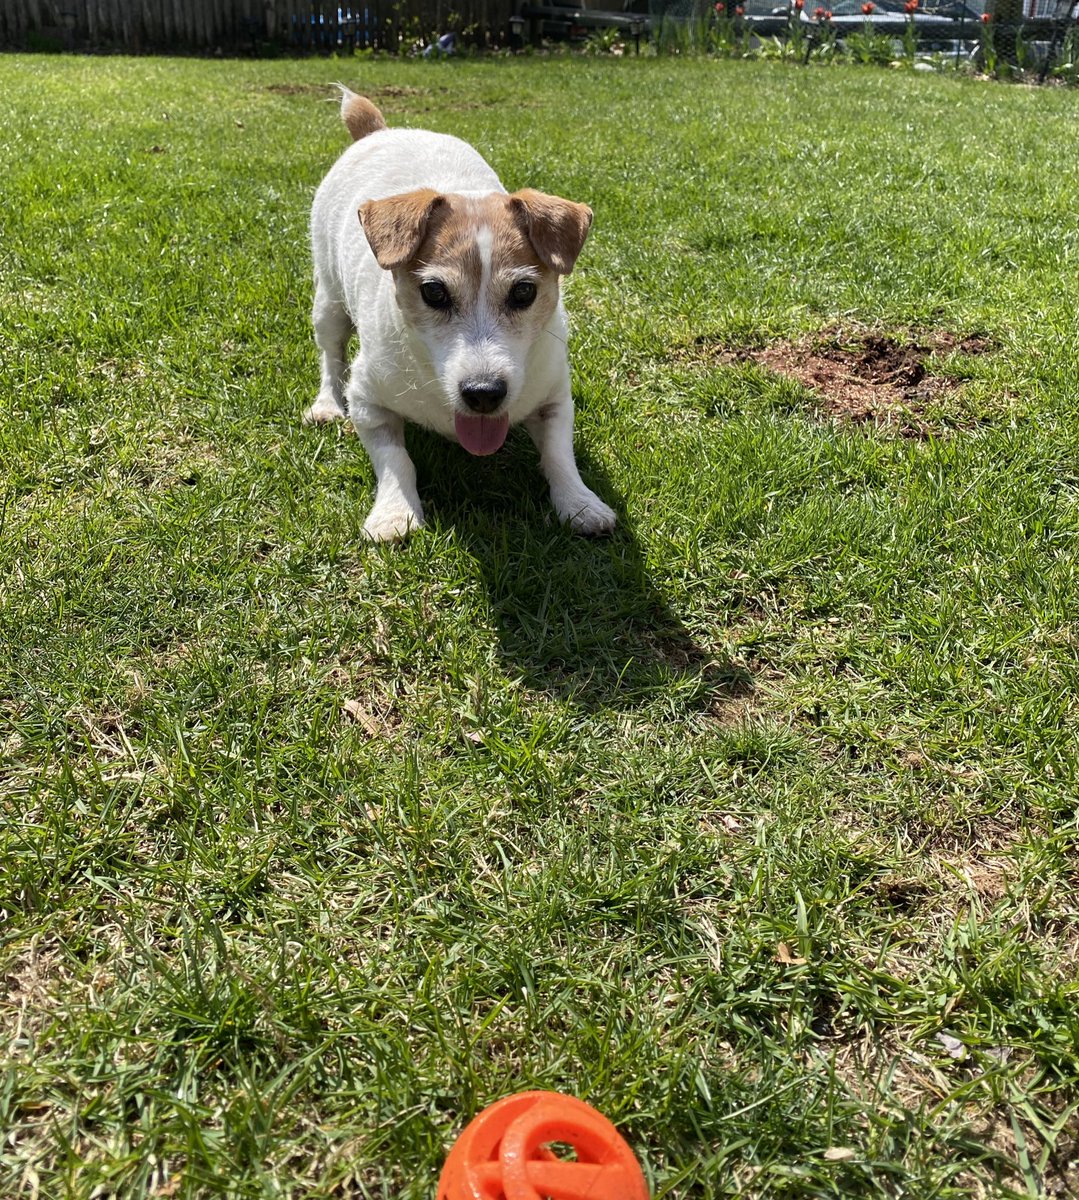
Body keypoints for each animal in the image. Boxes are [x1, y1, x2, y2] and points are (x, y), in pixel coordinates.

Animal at [303, 91, 614, 542]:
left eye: (524, 292)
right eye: (434, 292)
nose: (484, 393)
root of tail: (382, 131)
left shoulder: (553, 398)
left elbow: (560, 455)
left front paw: (580, 503)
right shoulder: (367, 401)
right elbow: (396, 459)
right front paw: (394, 513)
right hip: (328, 300)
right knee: (331, 353)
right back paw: (327, 403)